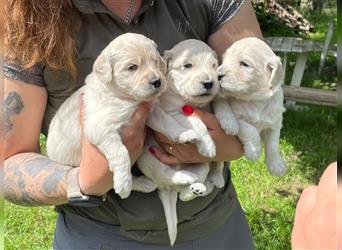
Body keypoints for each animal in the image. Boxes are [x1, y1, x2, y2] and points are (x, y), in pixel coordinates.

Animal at [46, 33, 167, 198]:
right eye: (132, 67)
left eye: (155, 62)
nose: (157, 81)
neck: (123, 96)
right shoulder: (101, 128)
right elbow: (121, 152)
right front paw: (123, 184)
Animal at [135, 39, 226, 246]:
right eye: (187, 66)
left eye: (213, 65)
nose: (210, 83)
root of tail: (167, 189)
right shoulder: (174, 112)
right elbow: (196, 121)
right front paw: (207, 144)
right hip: (148, 157)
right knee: (168, 174)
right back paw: (187, 177)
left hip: (201, 167)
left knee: (185, 194)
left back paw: (200, 186)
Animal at [216, 37, 286, 176]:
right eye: (225, 59)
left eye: (244, 63)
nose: (218, 75)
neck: (254, 99)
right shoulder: (238, 118)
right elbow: (250, 129)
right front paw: (254, 151)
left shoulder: (275, 123)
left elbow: (273, 144)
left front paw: (276, 165)